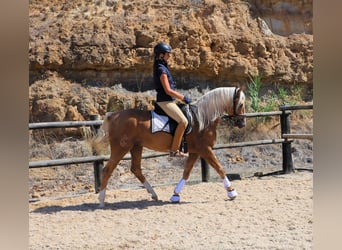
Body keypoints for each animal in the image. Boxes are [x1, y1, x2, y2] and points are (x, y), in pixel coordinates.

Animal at [91, 87, 246, 208]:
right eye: (241, 104)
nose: (242, 123)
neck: (202, 118)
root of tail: (114, 115)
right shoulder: (205, 149)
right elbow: (220, 168)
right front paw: (232, 192)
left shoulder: (195, 152)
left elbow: (186, 173)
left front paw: (175, 195)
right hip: (121, 148)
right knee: (108, 170)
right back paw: (101, 201)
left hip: (136, 147)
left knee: (135, 169)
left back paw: (153, 194)